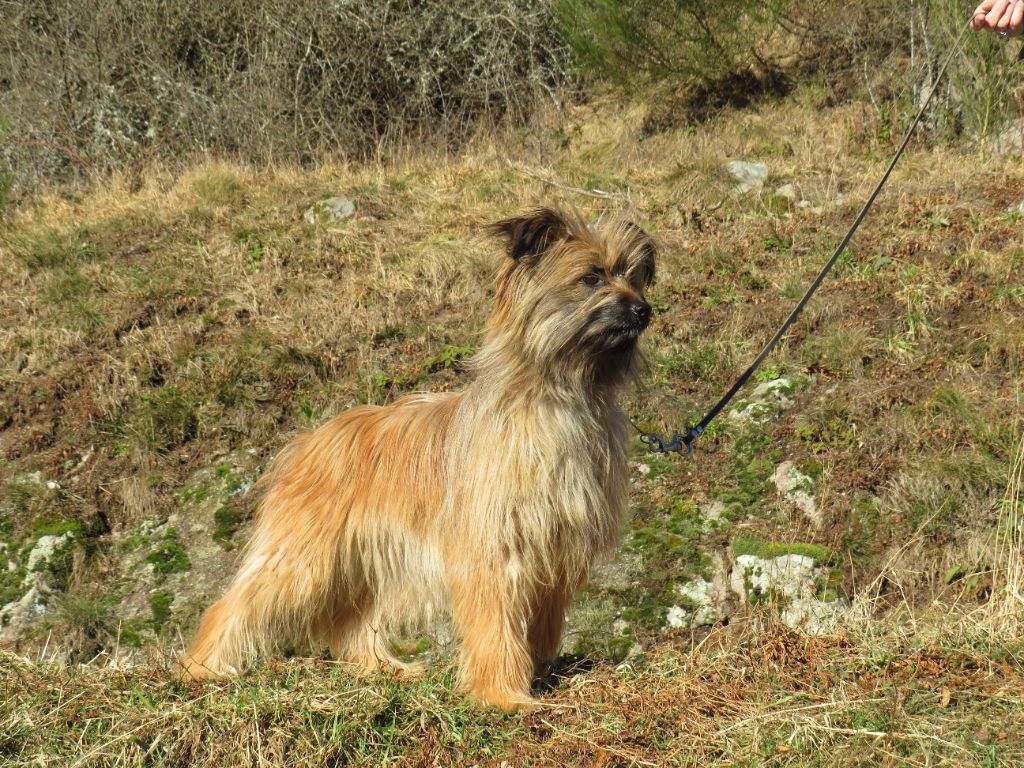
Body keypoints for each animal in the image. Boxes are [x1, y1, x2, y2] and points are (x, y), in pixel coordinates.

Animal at [181, 207, 655, 712]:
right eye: (591, 277)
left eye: (634, 276)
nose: (644, 310)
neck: (561, 395)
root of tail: (310, 439)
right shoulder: (492, 549)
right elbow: (497, 625)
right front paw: (503, 694)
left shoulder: (555, 550)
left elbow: (541, 623)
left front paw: (538, 674)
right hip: (305, 556)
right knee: (234, 604)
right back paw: (202, 668)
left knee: (352, 623)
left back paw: (385, 668)